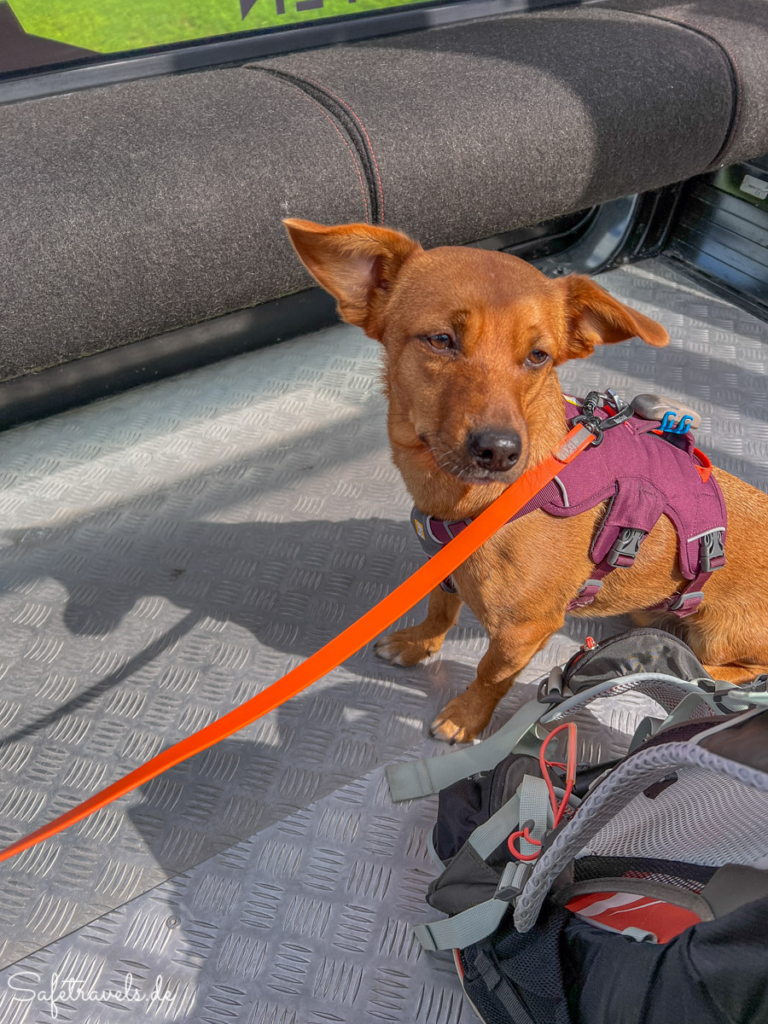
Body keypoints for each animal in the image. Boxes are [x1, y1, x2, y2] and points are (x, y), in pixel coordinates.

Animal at [286, 218, 768, 745]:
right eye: (440, 340)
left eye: (539, 356)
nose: (499, 450)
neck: (475, 503)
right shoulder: (443, 574)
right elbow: (439, 610)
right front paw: (418, 644)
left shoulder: (523, 632)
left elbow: (490, 674)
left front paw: (466, 717)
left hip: (719, 637)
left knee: (735, 671)